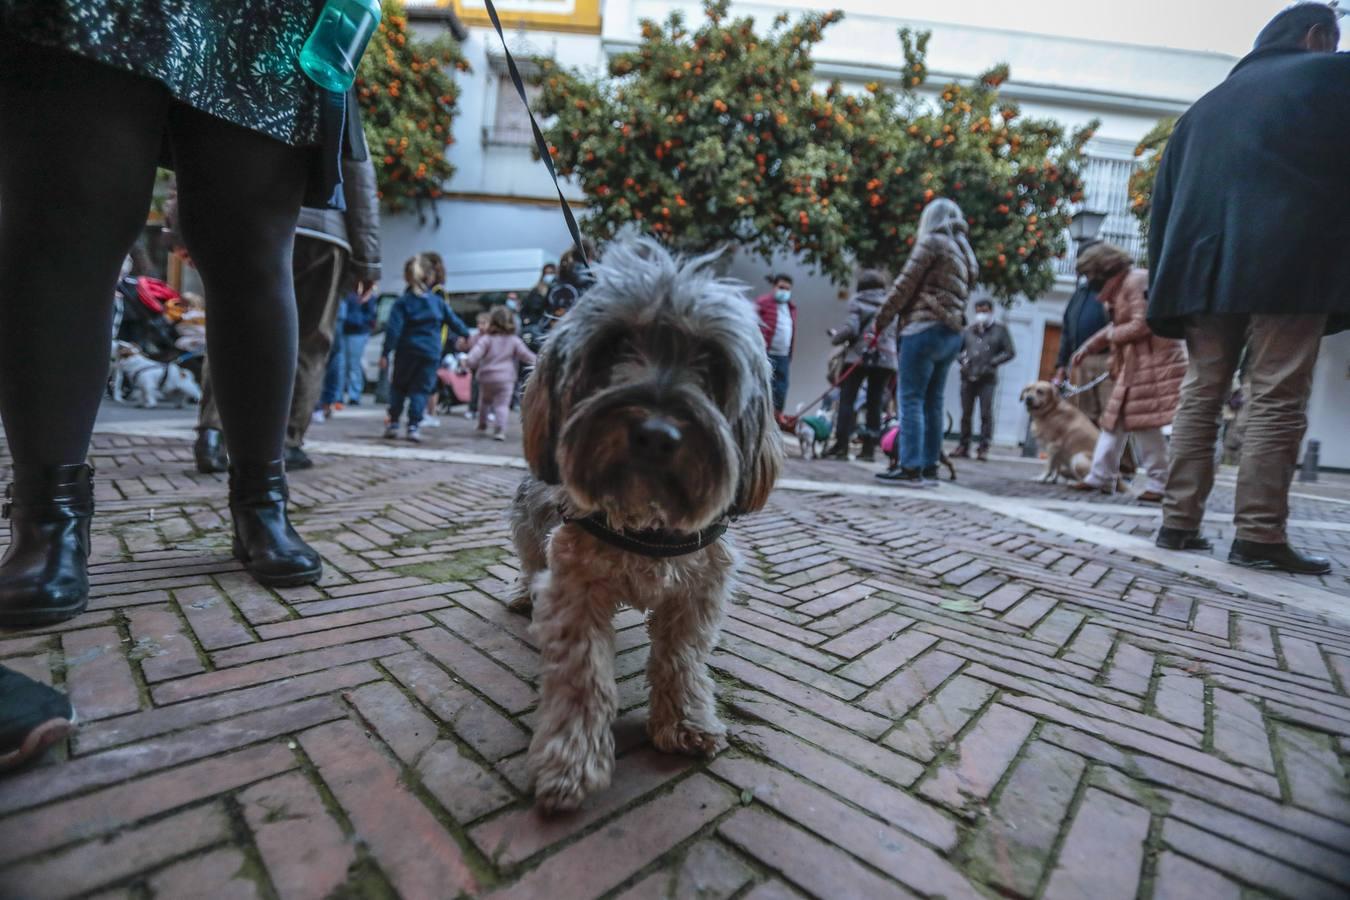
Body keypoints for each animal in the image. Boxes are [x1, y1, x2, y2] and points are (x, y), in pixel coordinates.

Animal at [510, 236, 783, 814]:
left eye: (711, 360)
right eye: (615, 345)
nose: (656, 433)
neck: (647, 517)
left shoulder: (699, 589)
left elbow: (682, 661)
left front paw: (684, 723)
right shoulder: (574, 585)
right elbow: (583, 675)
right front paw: (571, 760)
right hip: (530, 512)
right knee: (527, 552)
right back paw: (523, 591)